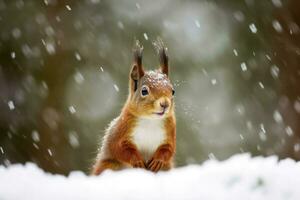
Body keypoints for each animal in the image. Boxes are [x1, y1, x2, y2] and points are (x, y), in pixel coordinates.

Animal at [91, 39, 176, 174]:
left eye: (173, 91)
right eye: (144, 91)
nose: (165, 104)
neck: (150, 121)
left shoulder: (170, 131)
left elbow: (168, 149)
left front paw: (158, 160)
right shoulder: (121, 130)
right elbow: (120, 148)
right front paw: (137, 161)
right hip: (110, 166)